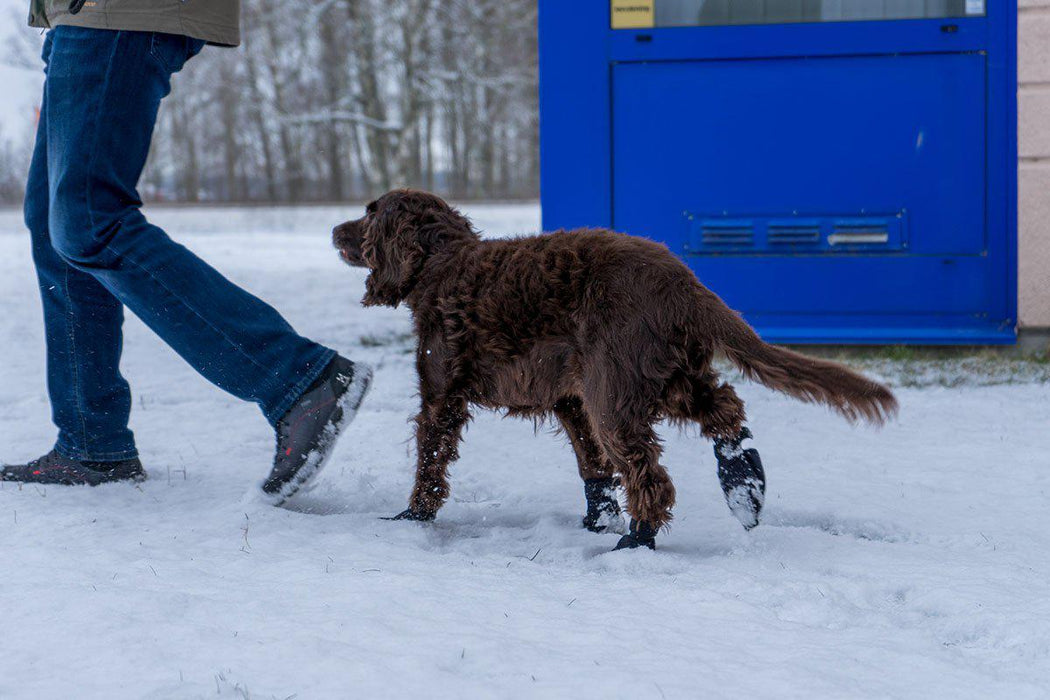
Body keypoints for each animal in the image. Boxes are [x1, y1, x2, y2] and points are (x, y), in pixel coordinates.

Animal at [333, 188, 894, 549]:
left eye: (369, 213)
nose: (335, 229)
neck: (440, 261)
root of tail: (683, 282)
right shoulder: (569, 397)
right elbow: (593, 465)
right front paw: (596, 519)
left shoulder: (442, 393)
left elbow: (429, 461)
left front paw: (411, 517)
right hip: (661, 375)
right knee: (724, 408)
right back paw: (744, 485)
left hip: (618, 387)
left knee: (652, 473)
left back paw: (638, 540)